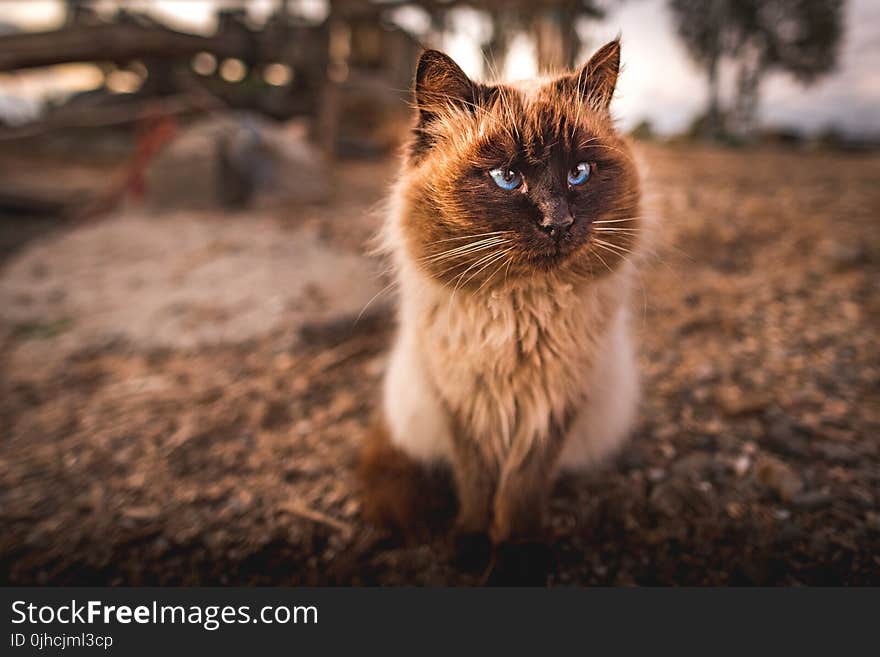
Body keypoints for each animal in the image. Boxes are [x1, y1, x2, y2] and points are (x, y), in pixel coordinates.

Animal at [360, 39, 644, 576]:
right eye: (507, 178)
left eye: (578, 173)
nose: (559, 223)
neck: (520, 313)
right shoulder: (463, 402)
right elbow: (477, 484)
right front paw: (472, 547)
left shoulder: (552, 405)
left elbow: (520, 490)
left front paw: (516, 557)